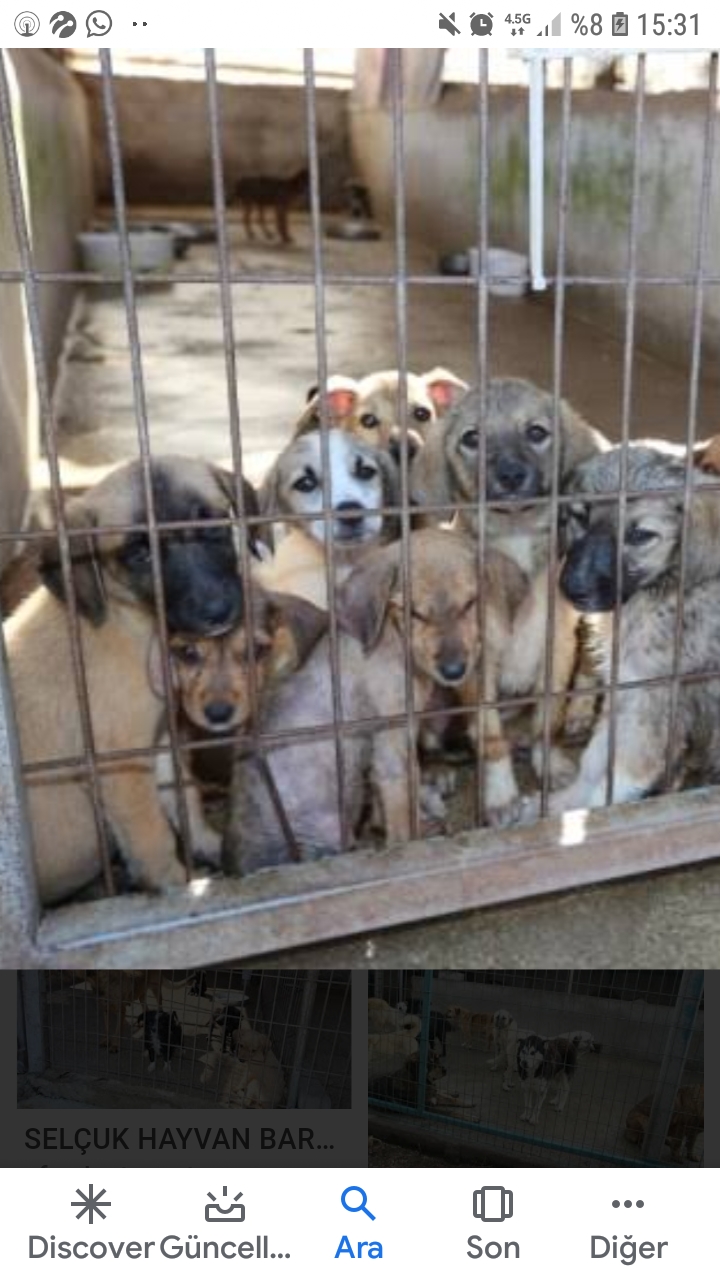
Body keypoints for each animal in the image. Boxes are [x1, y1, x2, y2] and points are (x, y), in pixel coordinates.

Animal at [2, 455, 260, 906]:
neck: (132, 622)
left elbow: (185, 796)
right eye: (139, 554)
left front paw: (209, 845)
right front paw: (180, 887)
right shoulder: (122, 766)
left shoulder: (160, 742)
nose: (217, 610)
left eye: (211, 524)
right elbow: (152, 836)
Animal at [409, 373, 604, 783]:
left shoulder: (557, 644)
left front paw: (548, 763)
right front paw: (500, 791)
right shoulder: (476, 661)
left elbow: (548, 719)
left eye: (536, 432)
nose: (511, 475)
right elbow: (489, 734)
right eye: (471, 438)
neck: (515, 535)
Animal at [545, 445, 720, 814]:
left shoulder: (650, 706)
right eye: (581, 517)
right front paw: (565, 804)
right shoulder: (626, 689)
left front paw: (582, 815)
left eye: (640, 536)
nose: (572, 588)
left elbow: (617, 778)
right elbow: (594, 760)